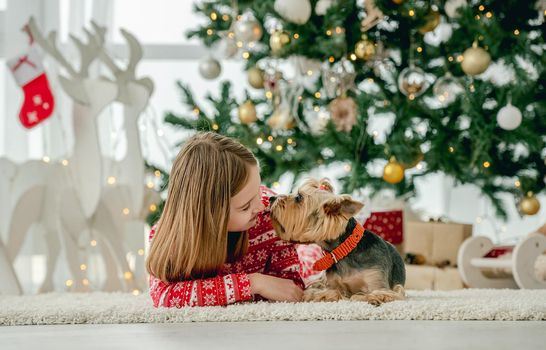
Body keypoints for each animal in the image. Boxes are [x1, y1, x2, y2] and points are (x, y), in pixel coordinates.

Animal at [268, 179, 404, 304]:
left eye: (299, 197)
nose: (271, 198)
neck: (343, 251)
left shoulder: (378, 281)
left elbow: (375, 293)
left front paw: (372, 297)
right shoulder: (331, 283)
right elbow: (329, 291)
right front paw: (322, 295)